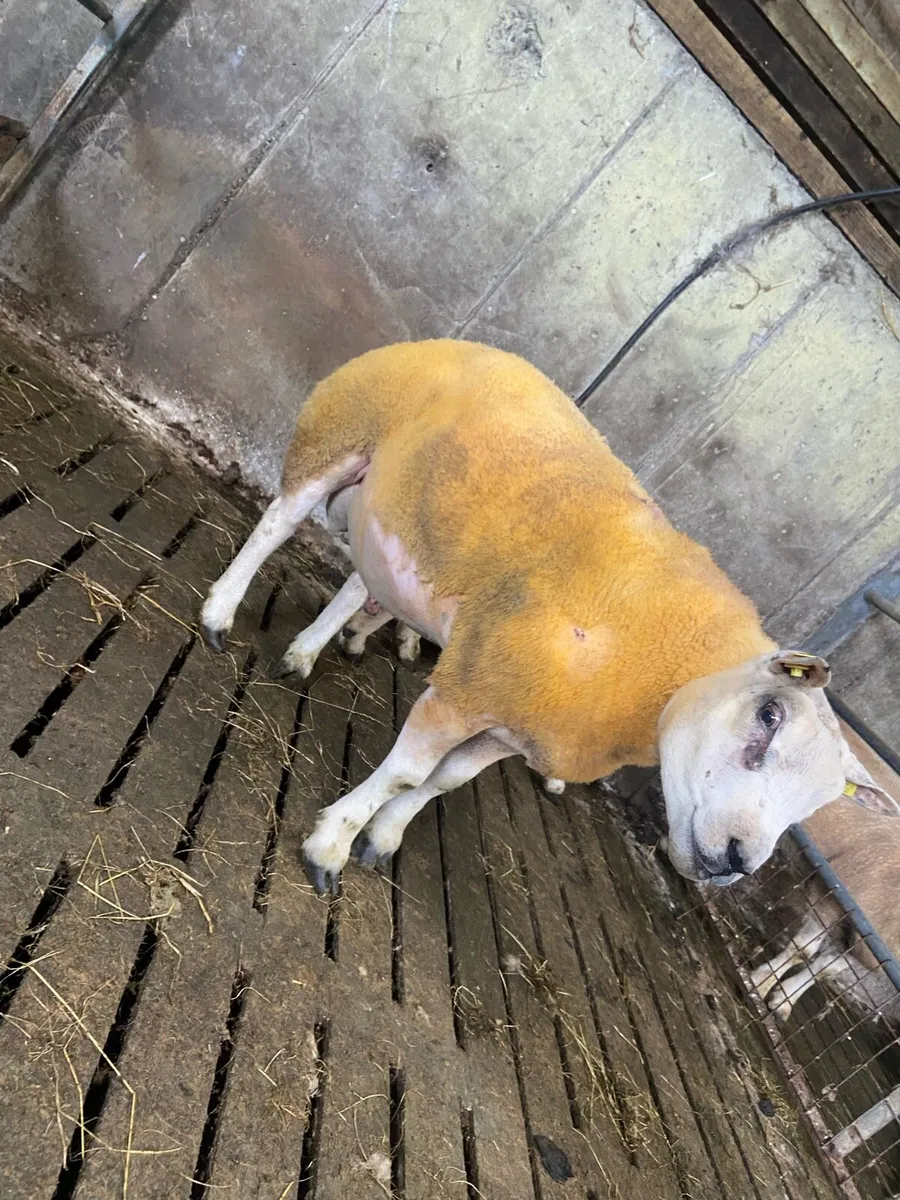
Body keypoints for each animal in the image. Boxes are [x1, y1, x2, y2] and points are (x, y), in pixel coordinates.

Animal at [198, 339, 898, 894]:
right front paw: (332, 846)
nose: (735, 860)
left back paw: (304, 653)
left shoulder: (520, 719)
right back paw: (220, 614)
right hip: (341, 427)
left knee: (359, 583)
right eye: (770, 714)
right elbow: (405, 773)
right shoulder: (476, 682)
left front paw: (385, 838)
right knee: (278, 522)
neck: (662, 676)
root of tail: (482, 347)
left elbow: (446, 781)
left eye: (817, 806)